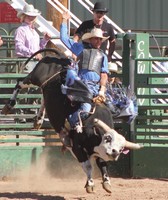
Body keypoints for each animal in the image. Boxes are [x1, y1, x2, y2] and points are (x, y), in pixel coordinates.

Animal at [1, 48, 142, 194]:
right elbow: (88, 166)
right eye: (107, 138)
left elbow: (102, 165)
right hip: (35, 77)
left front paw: (107, 183)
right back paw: (8, 105)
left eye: (122, 147)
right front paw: (90, 184)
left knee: (43, 98)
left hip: (45, 88)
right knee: (19, 82)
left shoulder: (97, 152)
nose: (115, 152)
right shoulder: (77, 147)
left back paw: (38, 120)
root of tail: (61, 59)